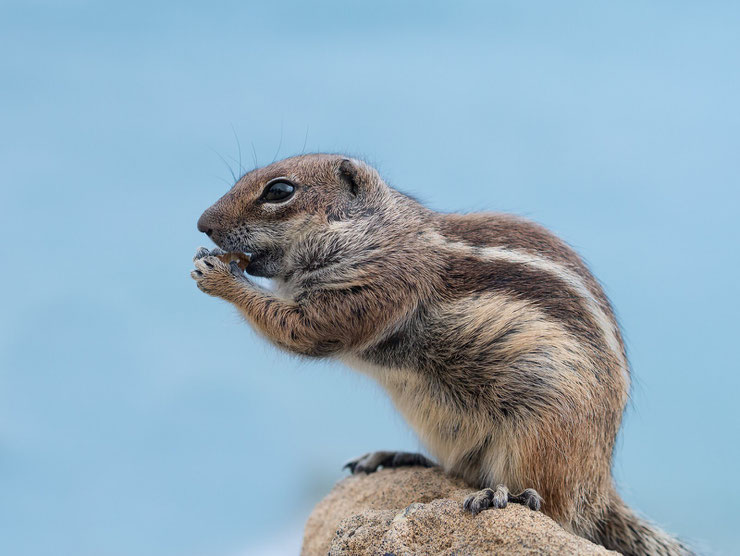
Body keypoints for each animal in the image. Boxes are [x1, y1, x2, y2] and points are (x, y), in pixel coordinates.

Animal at [192, 153, 692, 556]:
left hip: (543, 433)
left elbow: (303, 328)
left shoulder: (378, 288)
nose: (202, 225)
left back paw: (506, 496)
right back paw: (397, 458)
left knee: (551, 504)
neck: (376, 232)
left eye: (279, 191)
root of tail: (600, 482)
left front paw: (218, 275)